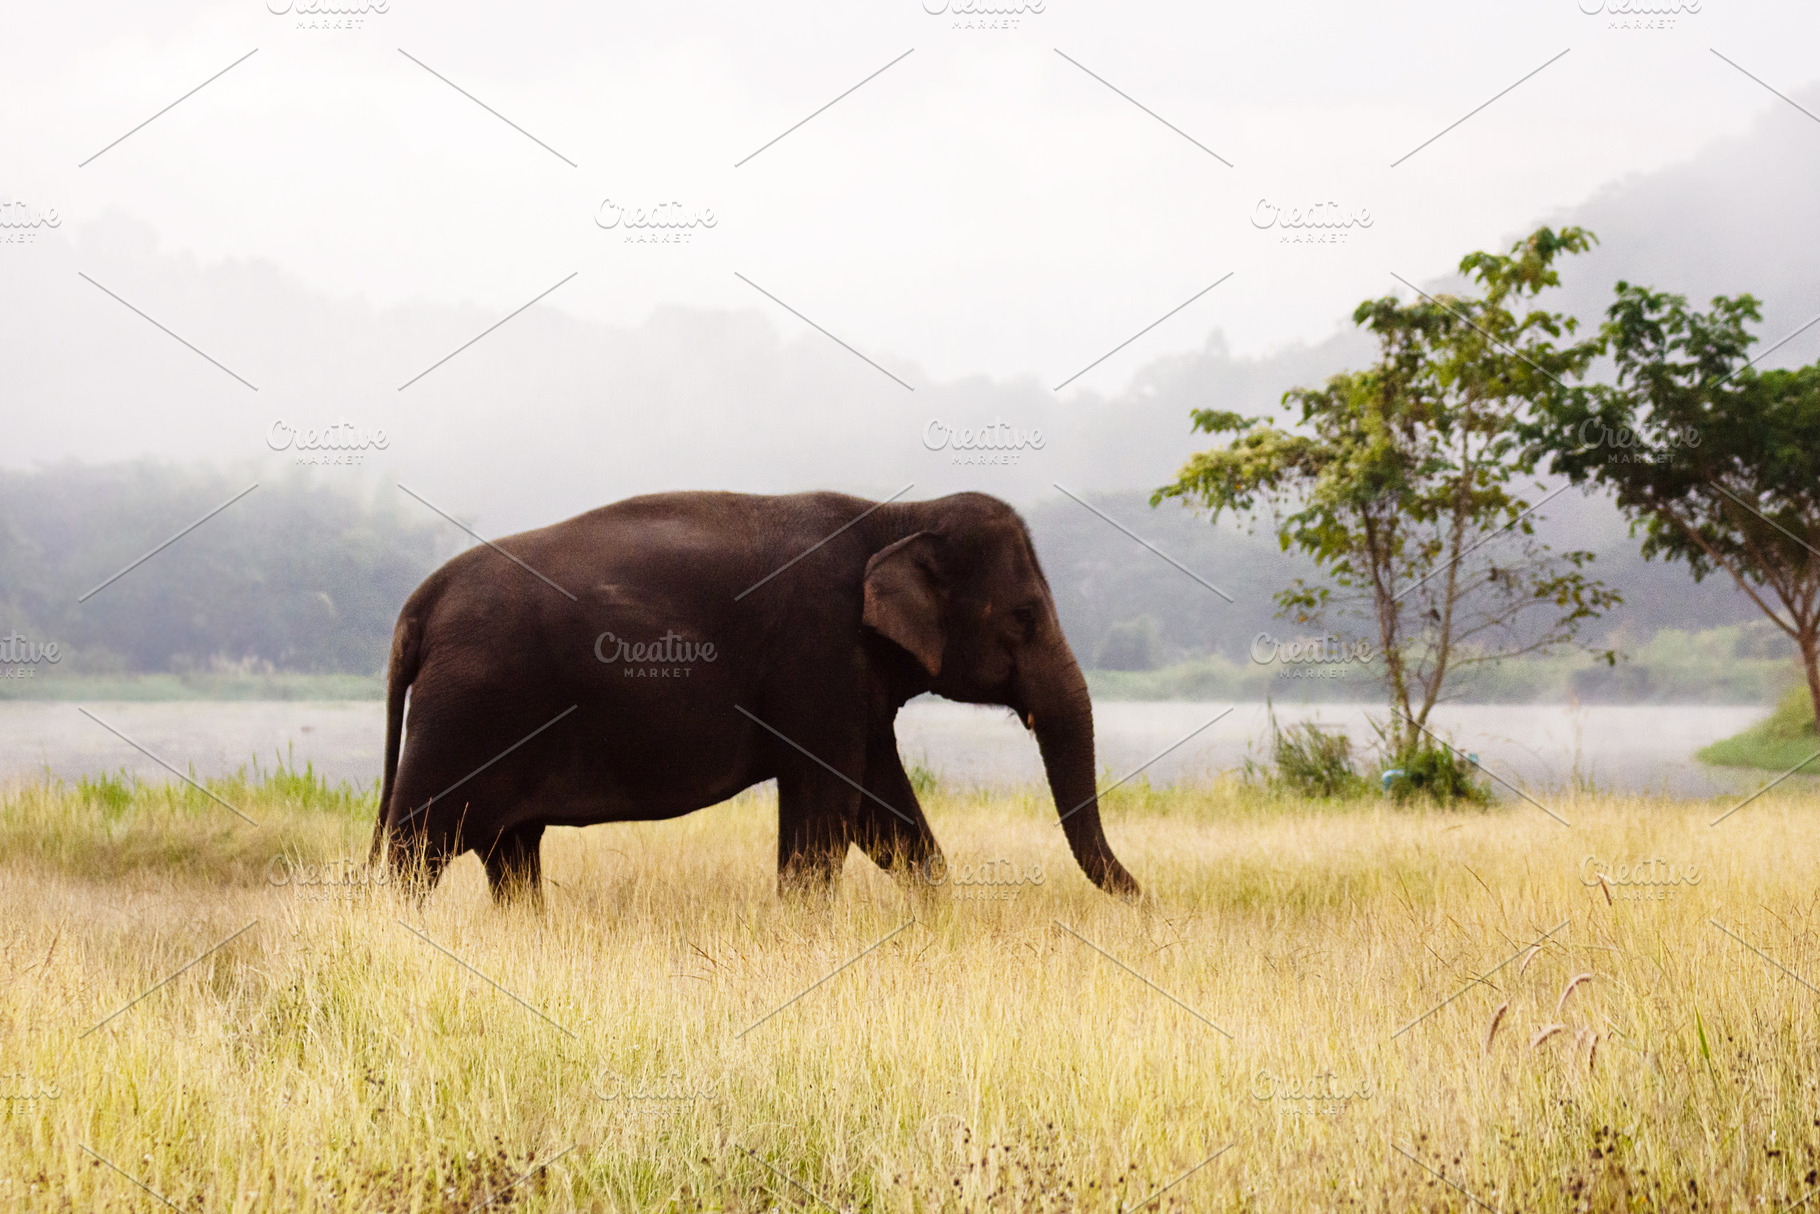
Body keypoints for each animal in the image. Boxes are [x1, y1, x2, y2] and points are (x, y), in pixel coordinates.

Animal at [368, 489, 1140, 903]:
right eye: (1024, 617)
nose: (1145, 903)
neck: (894, 514)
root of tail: (416, 608)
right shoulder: (818, 659)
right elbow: (830, 811)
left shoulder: (853, 684)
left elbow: (885, 820)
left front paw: (936, 913)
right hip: (467, 711)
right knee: (419, 843)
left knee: (511, 851)